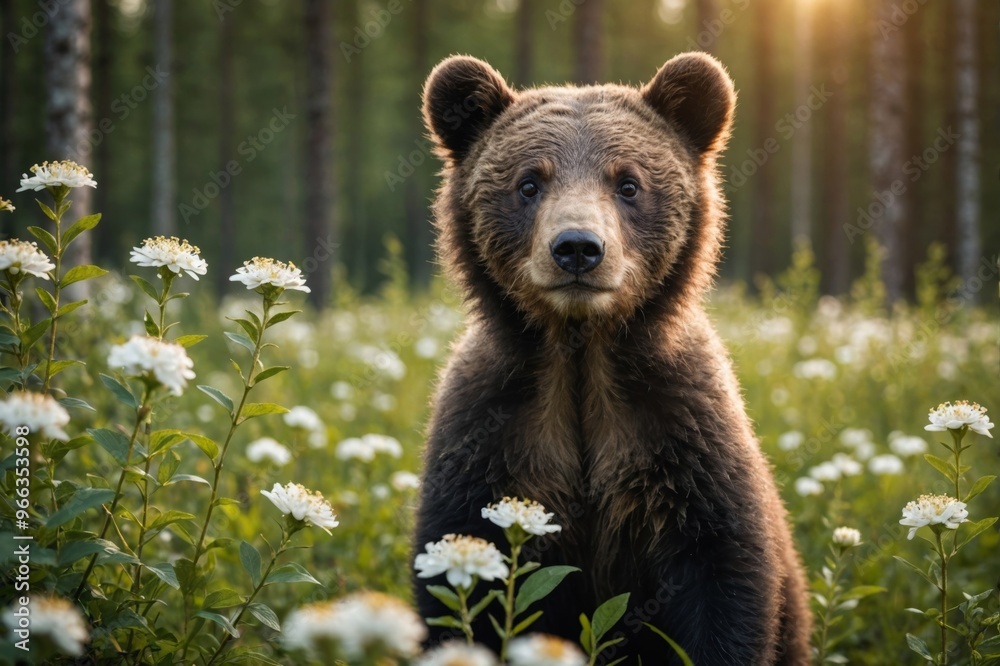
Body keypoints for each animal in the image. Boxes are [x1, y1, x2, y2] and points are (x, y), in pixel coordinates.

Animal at [412, 52, 812, 665]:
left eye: (628, 183)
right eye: (529, 182)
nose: (578, 247)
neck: (580, 356)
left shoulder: (680, 436)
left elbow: (723, 580)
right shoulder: (493, 433)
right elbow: (460, 586)